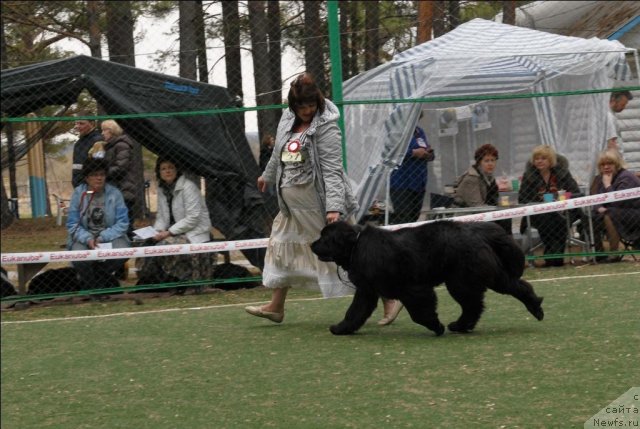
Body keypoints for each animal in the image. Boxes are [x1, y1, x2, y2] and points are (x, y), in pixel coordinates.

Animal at [312, 221, 544, 334]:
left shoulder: (413, 289)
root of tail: (476, 230)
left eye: (324, 238)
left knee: (473, 305)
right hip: (485, 276)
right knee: (516, 286)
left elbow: (420, 313)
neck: (356, 245)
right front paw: (341, 329)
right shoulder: (367, 291)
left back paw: (458, 326)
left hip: (460, 282)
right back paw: (536, 308)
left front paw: (436, 326)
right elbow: (355, 312)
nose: (311, 244)